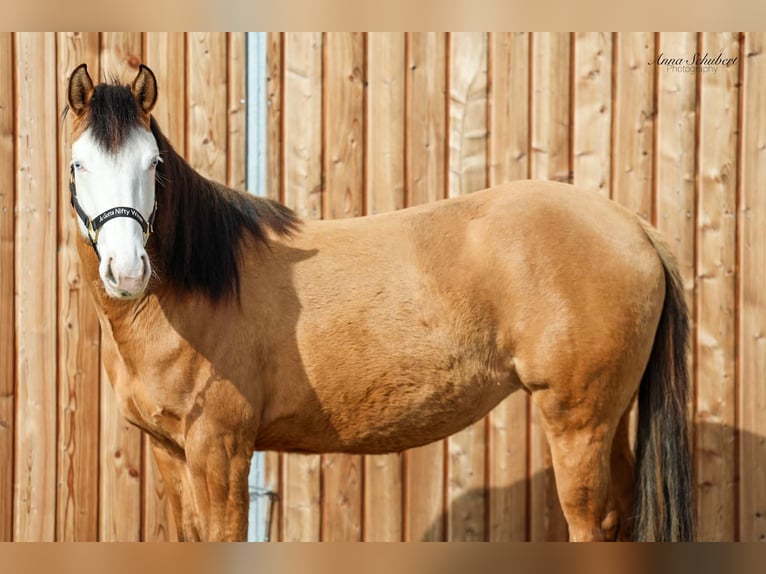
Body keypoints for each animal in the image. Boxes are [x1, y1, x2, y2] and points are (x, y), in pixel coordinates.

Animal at [65, 63, 694, 542]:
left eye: (153, 164)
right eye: (79, 164)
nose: (127, 269)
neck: (199, 286)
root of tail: (633, 226)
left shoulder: (220, 448)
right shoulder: (170, 450)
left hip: (578, 421)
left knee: (592, 522)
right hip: (609, 417)